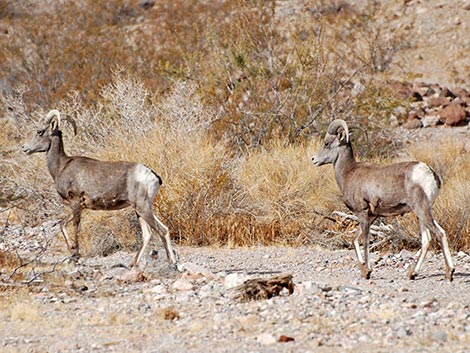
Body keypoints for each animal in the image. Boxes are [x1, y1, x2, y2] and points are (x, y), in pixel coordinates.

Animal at [21, 109, 178, 266]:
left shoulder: (75, 203)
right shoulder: (80, 206)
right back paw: (133, 264)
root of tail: (153, 176)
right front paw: (71, 249)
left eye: (40, 132)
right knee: (149, 234)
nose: (24, 148)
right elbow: (62, 224)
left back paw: (172, 262)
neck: (61, 166)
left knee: (162, 230)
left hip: (142, 207)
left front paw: (75, 255)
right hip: (140, 209)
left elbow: (75, 227)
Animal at [314, 119, 454, 280]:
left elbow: (365, 242)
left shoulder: (362, 213)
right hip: (421, 214)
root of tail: (430, 172)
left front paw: (367, 272)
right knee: (427, 239)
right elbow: (355, 239)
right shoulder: (372, 216)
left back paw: (449, 273)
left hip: (422, 210)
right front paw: (363, 269)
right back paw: (413, 273)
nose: (314, 159)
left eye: (326, 143)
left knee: (439, 233)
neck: (348, 173)